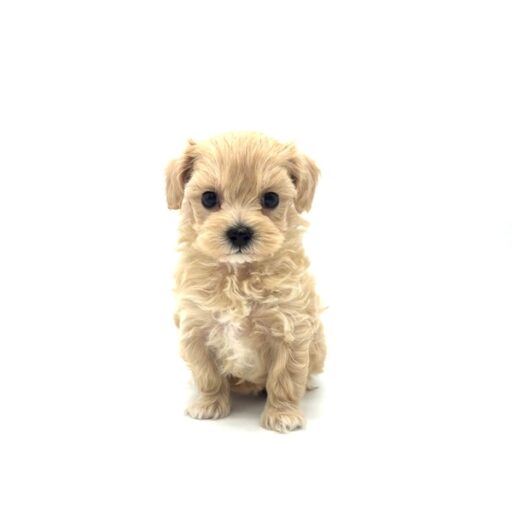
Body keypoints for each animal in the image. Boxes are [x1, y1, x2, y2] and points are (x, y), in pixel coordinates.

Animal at [166, 132, 326, 432]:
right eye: (208, 198)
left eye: (271, 198)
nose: (239, 232)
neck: (237, 276)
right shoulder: (196, 328)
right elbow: (207, 373)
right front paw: (209, 404)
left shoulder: (291, 327)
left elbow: (286, 376)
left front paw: (282, 414)